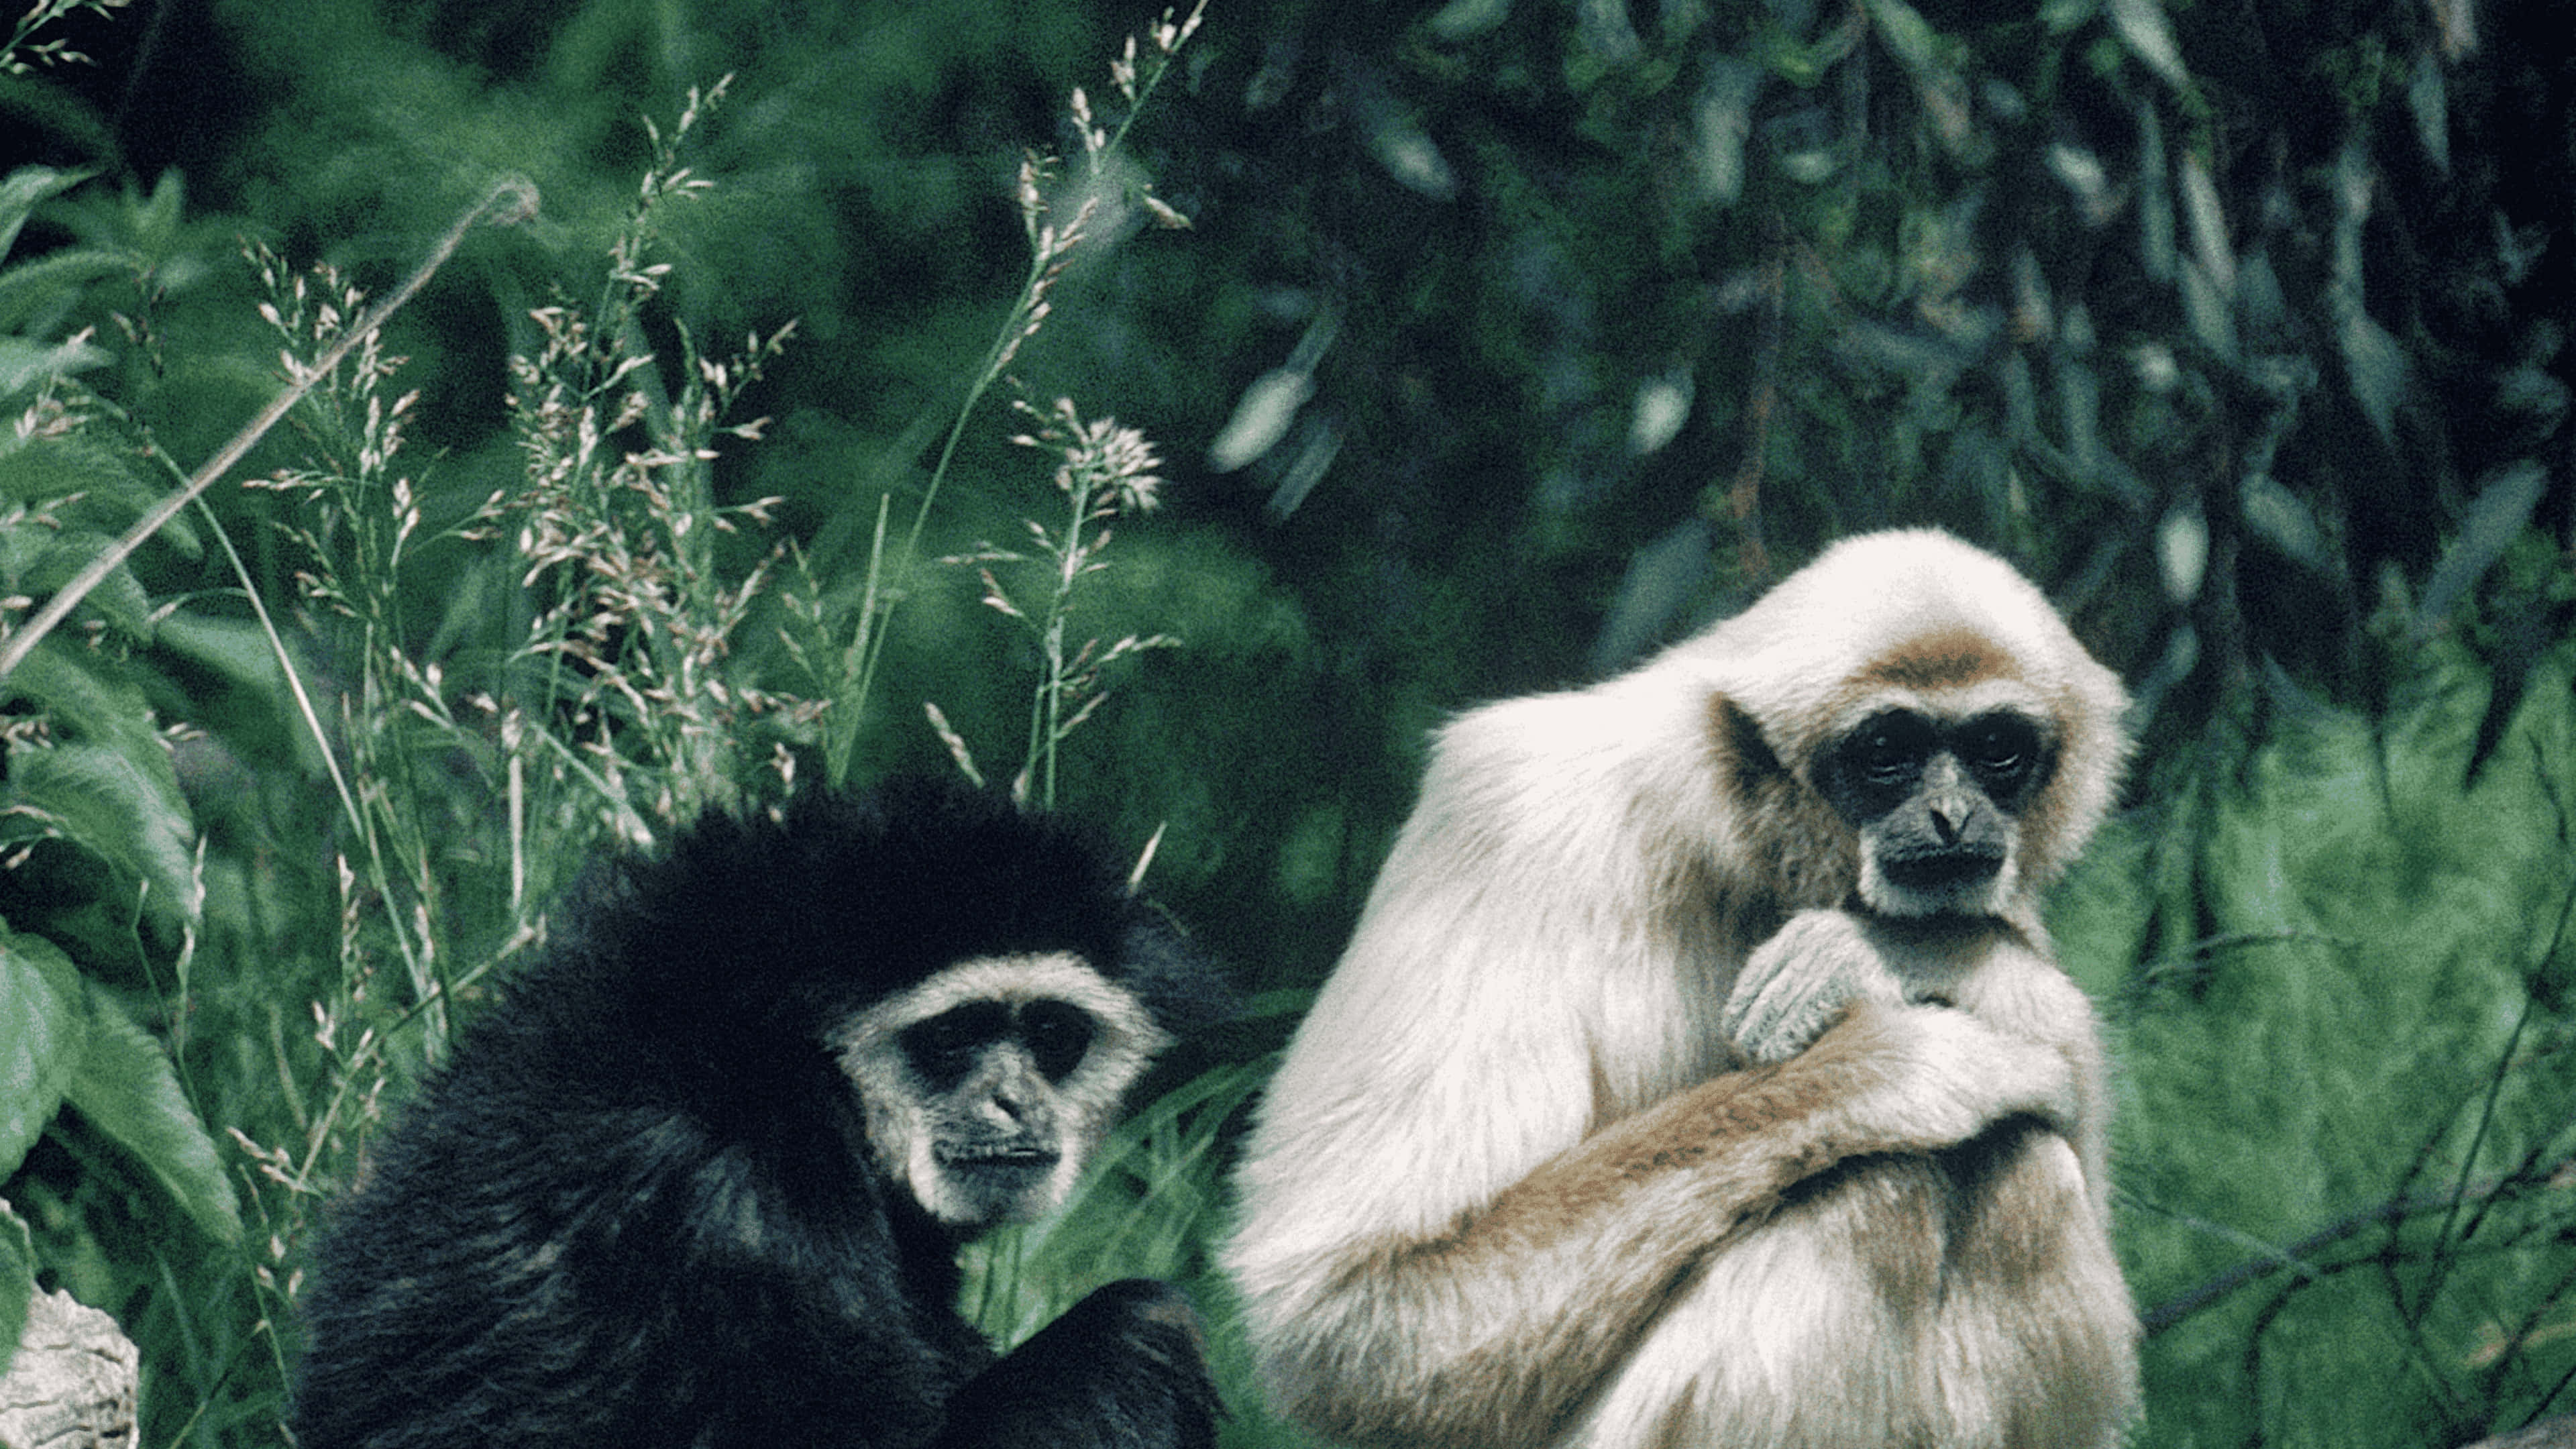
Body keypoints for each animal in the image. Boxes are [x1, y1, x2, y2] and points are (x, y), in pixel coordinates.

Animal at [293, 777, 1233, 1449]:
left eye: (1051, 1034)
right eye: (953, 1036)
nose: (1014, 1099)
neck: (756, 1054)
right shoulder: (739, 1209)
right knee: (1143, 1328)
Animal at [1222, 529, 2138, 1449]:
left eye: (1997, 748)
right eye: (1887, 753)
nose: (1953, 815)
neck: (1741, 841)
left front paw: (1897, 950)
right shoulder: (1506, 820)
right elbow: (1354, 1308)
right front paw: (1894, 1062)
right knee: (1892, 1178)